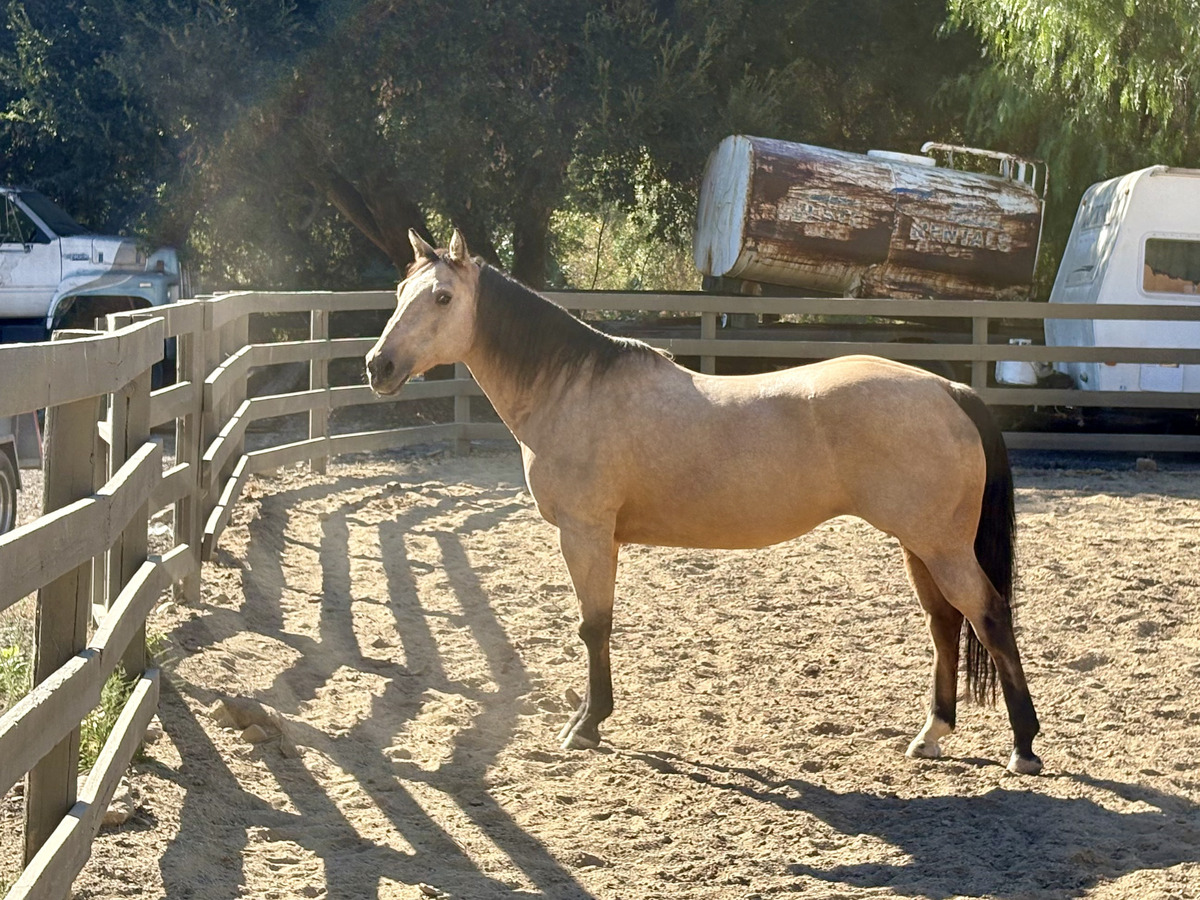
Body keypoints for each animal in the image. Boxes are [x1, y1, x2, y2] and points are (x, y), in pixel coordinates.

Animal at [366, 228, 1042, 775]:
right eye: (399, 292)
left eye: (442, 298)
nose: (378, 366)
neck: (573, 388)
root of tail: (948, 388)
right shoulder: (601, 538)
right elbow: (598, 623)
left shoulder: (585, 533)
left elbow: (592, 625)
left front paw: (586, 724)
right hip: (918, 545)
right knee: (946, 624)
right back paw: (931, 735)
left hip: (941, 546)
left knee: (989, 615)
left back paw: (1024, 747)